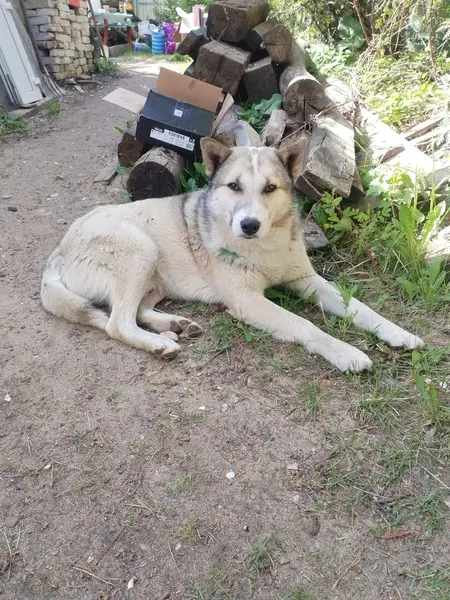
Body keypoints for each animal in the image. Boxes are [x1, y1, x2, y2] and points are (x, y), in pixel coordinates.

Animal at [41, 138, 424, 372]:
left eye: (270, 188)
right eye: (234, 186)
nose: (250, 224)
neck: (262, 247)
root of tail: (56, 253)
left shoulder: (307, 280)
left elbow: (360, 307)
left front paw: (398, 333)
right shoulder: (247, 300)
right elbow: (305, 324)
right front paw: (346, 353)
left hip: (154, 276)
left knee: (138, 312)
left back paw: (173, 326)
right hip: (141, 249)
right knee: (116, 323)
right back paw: (159, 344)